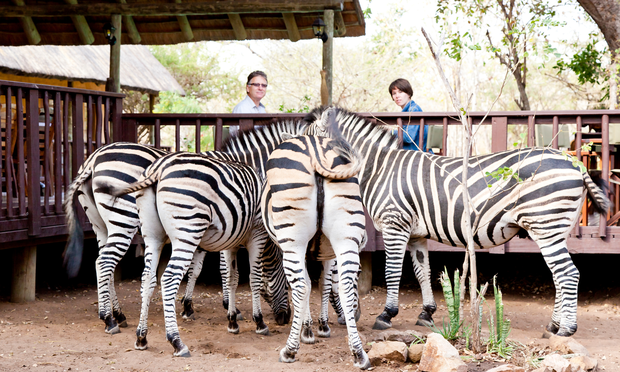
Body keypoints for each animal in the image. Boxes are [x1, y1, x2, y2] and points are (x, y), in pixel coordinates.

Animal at [260, 134, 370, 370]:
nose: (357, 315)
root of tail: (314, 147)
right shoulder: (329, 254)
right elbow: (324, 285)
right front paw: (321, 326)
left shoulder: (294, 249)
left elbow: (308, 286)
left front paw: (307, 329)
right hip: (346, 236)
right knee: (345, 287)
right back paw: (359, 353)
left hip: (293, 239)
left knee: (301, 286)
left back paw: (289, 351)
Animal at [306, 107, 612, 338]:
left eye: (306, 142)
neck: (380, 168)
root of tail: (575, 164)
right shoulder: (415, 234)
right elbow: (423, 272)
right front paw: (426, 312)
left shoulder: (395, 225)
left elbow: (392, 272)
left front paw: (386, 314)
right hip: (554, 229)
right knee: (560, 276)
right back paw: (553, 325)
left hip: (546, 225)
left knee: (568, 274)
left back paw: (567, 329)